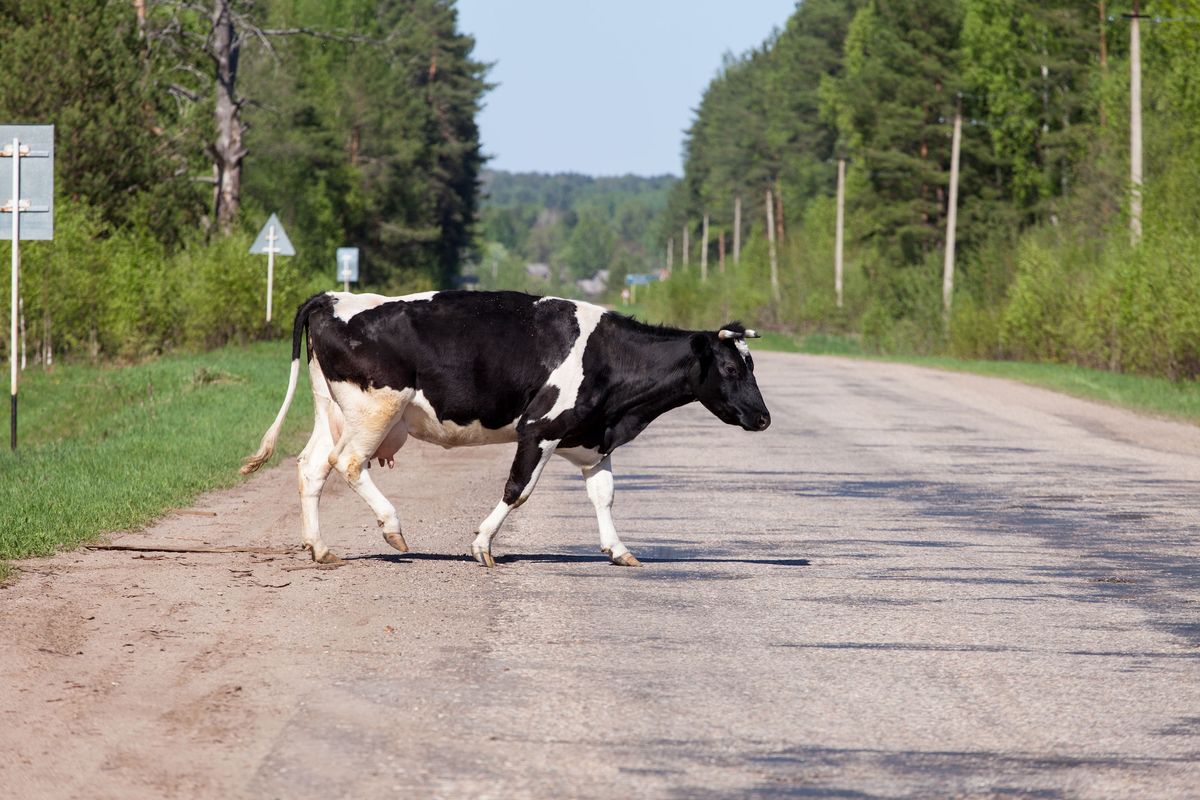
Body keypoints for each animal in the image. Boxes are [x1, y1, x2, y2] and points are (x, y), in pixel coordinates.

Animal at [240, 293, 772, 568]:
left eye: (751, 364)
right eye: (730, 367)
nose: (764, 418)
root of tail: (336, 297)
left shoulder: (593, 440)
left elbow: (604, 496)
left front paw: (619, 550)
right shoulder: (539, 429)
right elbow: (517, 490)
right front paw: (482, 546)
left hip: (333, 410)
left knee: (312, 467)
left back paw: (321, 549)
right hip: (375, 409)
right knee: (348, 463)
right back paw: (392, 529)